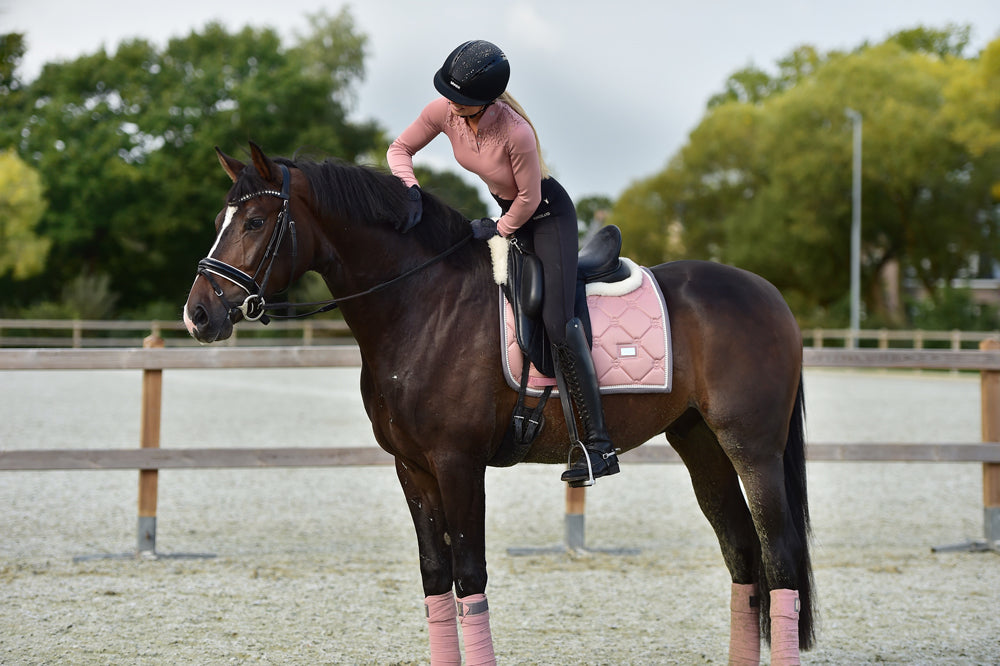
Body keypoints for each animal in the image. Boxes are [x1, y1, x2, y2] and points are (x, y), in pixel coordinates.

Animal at [184, 143, 816, 660]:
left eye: (256, 221)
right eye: (217, 222)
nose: (198, 314)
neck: (423, 303)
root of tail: (769, 294)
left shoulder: (458, 464)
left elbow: (470, 577)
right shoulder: (412, 468)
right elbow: (436, 578)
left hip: (752, 449)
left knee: (780, 558)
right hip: (700, 443)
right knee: (743, 554)